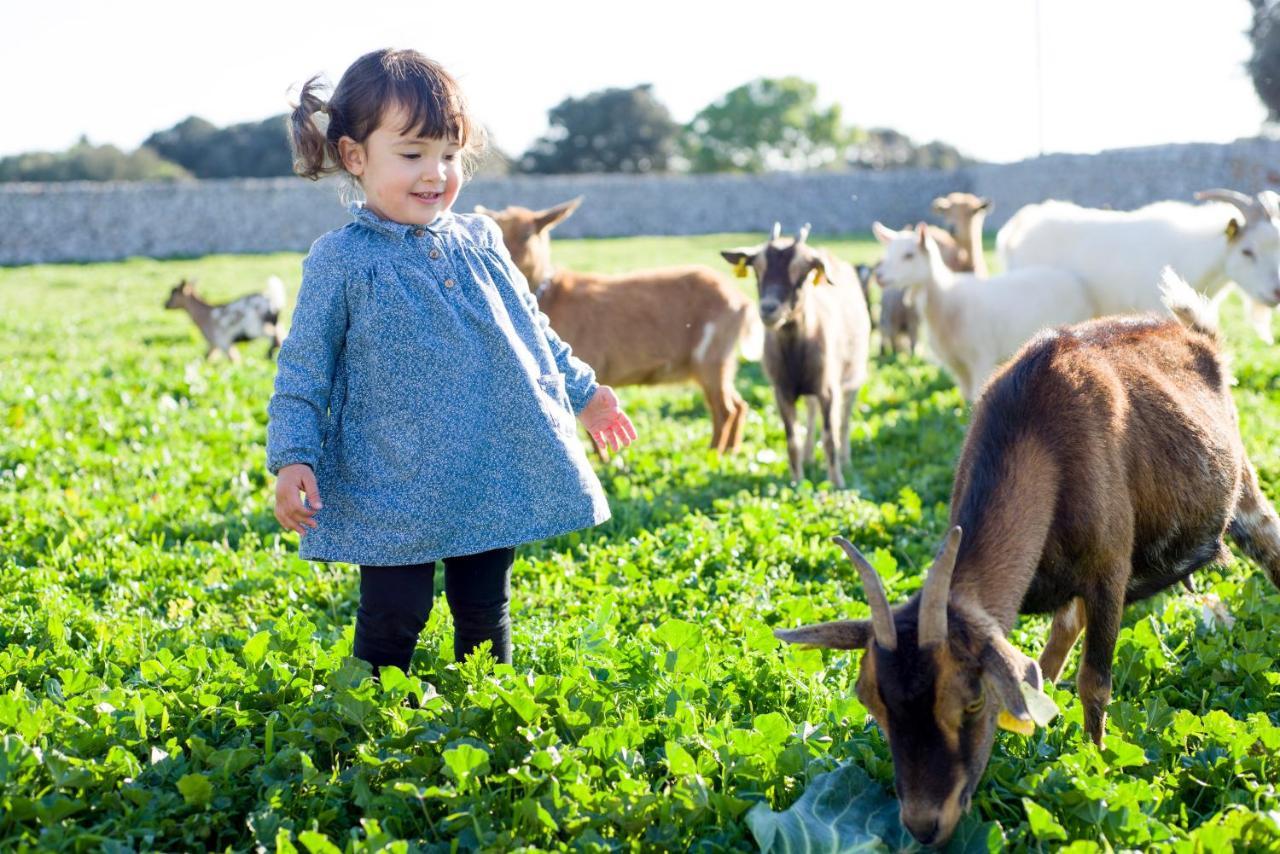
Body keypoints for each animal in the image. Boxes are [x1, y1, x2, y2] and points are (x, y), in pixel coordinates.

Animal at [478, 201, 757, 453]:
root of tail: (741, 301)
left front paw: (608, 460)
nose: (506, 261)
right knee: (738, 405)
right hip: (720, 361)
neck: (553, 295)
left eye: (528, 234)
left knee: (724, 409)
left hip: (711, 356)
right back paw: (730, 451)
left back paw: (714, 454)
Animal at [773, 275, 1280, 850]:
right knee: (1059, 639)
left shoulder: (1109, 571)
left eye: (971, 702)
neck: (1038, 436)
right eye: (872, 702)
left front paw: (1097, 768)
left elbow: (1095, 682)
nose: (925, 826)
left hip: (1243, 492)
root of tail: (1198, 335)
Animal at [875, 224, 1095, 404]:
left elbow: (974, 398)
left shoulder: (980, 358)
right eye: (887, 252)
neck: (947, 300)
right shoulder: (956, 364)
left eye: (909, 255)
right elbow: (966, 398)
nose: (879, 276)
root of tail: (1075, 281)